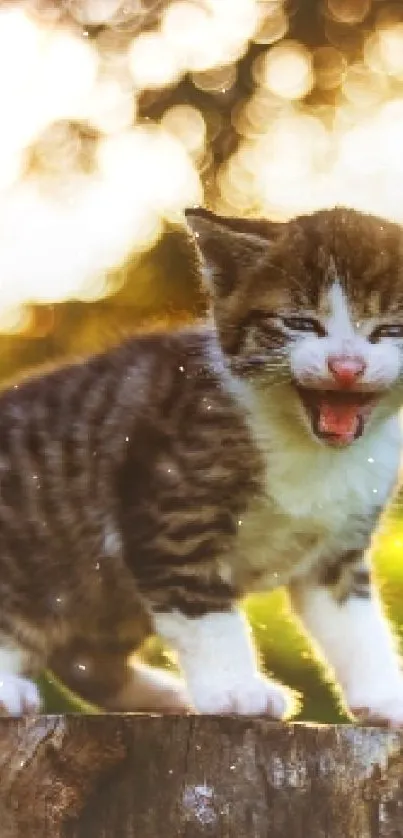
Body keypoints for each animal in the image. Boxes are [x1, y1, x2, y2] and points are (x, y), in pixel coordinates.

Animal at [0, 207, 403, 724]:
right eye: (300, 323)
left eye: (387, 331)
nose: (346, 366)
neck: (310, 448)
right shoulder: (169, 510)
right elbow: (202, 608)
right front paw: (235, 690)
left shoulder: (340, 548)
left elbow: (354, 622)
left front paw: (384, 697)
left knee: (85, 659)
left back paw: (164, 694)